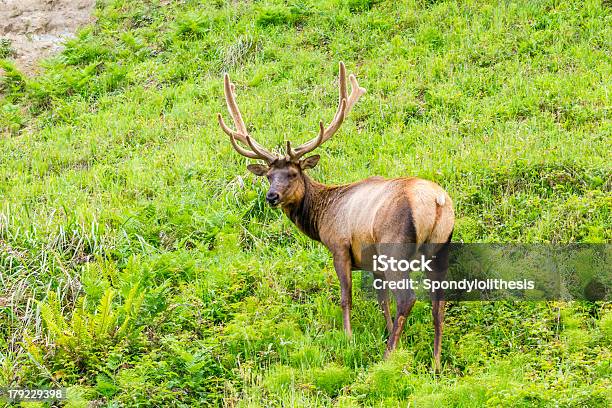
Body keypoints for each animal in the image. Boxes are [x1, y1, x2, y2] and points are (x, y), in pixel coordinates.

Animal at [216, 62, 454, 372]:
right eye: (269, 175)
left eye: (293, 174)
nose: (271, 197)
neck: (321, 217)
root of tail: (437, 201)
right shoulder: (373, 263)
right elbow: (382, 301)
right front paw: (387, 331)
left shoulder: (340, 247)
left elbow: (346, 298)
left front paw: (349, 338)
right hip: (440, 247)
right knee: (439, 300)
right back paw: (436, 363)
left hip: (395, 247)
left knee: (408, 298)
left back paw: (388, 357)